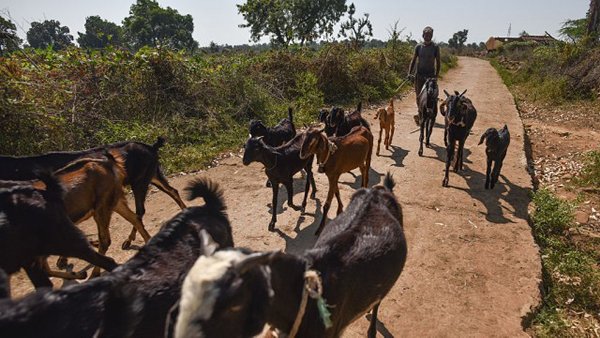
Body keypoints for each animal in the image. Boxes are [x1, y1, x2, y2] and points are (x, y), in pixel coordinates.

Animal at [0, 137, 186, 243]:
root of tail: (152, 147)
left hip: (140, 182)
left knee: (140, 210)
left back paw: (129, 239)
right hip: (153, 176)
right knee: (173, 191)